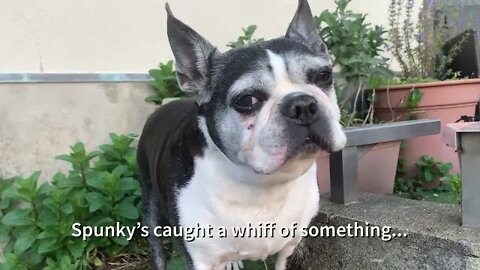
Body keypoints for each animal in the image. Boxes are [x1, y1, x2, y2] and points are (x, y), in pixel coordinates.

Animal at [138, 1, 344, 268]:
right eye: (247, 100)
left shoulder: (290, 248)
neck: (260, 185)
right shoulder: (200, 259)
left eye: (324, 76)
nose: (303, 105)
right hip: (150, 203)